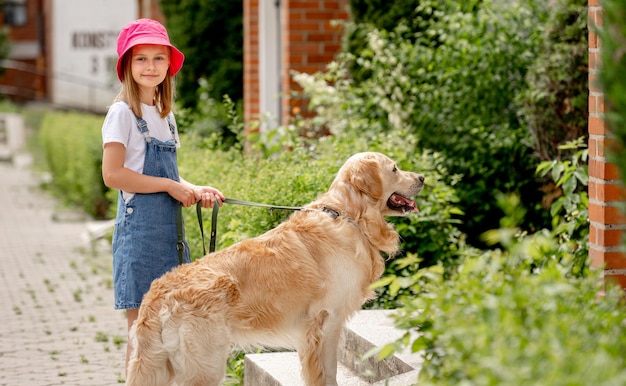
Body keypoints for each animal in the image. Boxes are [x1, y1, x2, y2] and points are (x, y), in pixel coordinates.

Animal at [125, 152, 422, 384]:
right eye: (394, 169)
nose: (422, 178)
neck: (349, 214)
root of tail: (155, 296)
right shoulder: (328, 320)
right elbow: (328, 373)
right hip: (204, 366)